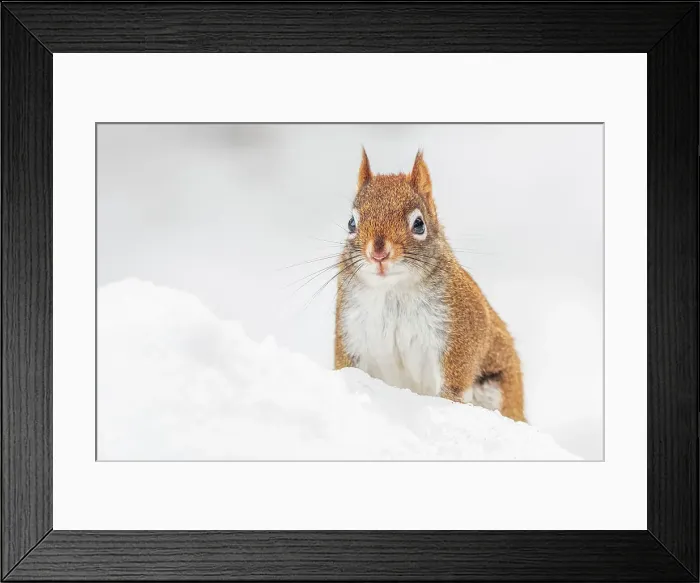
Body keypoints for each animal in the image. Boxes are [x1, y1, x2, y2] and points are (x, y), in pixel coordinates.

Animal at [334, 148, 526, 423]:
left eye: (419, 224)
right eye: (351, 223)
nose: (378, 253)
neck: (394, 291)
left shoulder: (463, 328)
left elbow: (456, 380)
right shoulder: (352, 332)